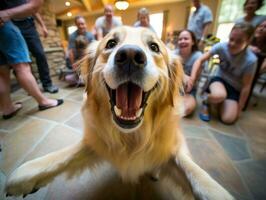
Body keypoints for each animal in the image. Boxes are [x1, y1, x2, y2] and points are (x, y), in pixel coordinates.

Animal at [5, 26, 234, 200]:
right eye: (111, 44)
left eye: (154, 47)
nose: (130, 56)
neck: (131, 137)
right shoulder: (96, 141)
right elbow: (62, 156)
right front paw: (25, 177)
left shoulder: (172, 146)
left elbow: (194, 172)